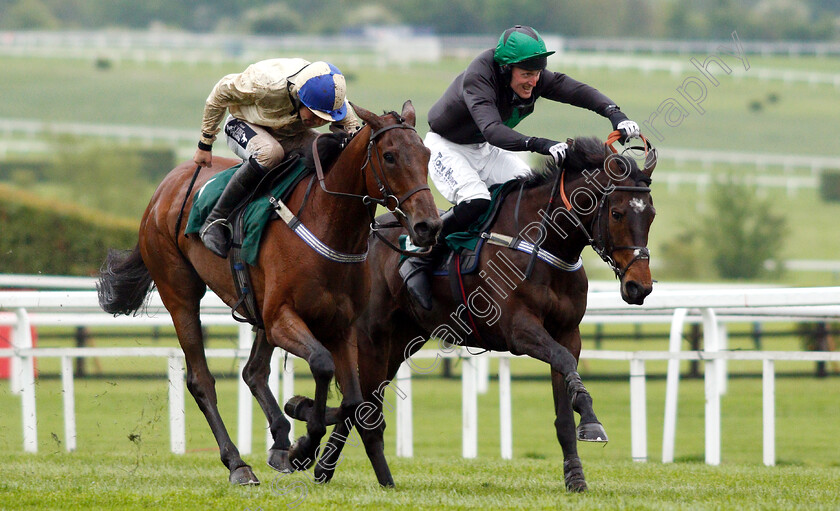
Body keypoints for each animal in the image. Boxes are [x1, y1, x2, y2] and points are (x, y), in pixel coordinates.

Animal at [97, 102, 440, 486]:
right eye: (390, 156)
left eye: (426, 155)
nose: (428, 226)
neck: (328, 224)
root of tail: (164, 188)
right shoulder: (282, 318)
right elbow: (322, 365)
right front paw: (305, 443)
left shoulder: (342, 326)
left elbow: (354, 401)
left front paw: (297, 424)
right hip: (180, 293)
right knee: (202, 380)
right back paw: (238, 463)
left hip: (257, 306)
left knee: (254, 372)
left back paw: (279, 439)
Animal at [286, 132, 660, 492]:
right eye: (617, 213)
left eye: (651, 215)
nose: (639, 287)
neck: (544, 244)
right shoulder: (519, 330)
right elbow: (564, 363)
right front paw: (592, 422)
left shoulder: (568, 333)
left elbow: (565, 404)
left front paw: (576, 475)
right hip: (371, 338)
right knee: (363, 404)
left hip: (400, 341)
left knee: (361, 403)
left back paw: (320, 464)